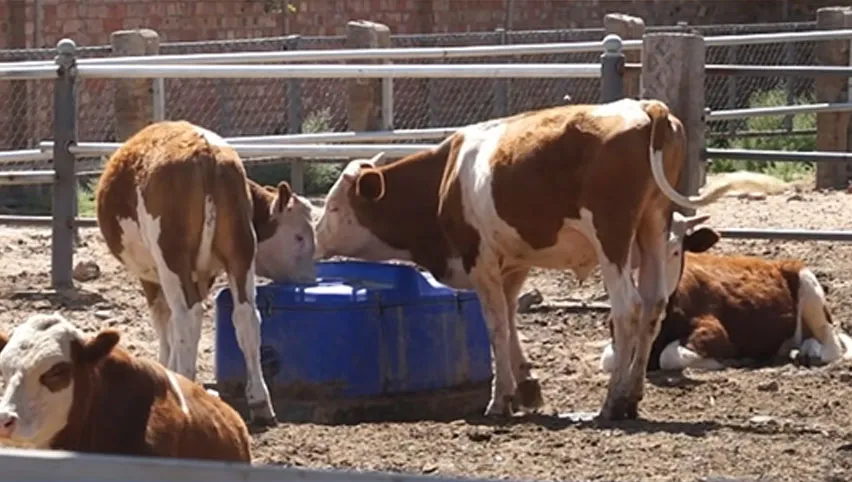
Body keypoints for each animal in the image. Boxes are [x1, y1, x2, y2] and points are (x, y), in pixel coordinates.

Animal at [94, 120, 317, 427]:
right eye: (299, 237)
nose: (312, 279)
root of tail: (206, 153)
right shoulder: (206, 273)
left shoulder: (152, 276)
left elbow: (165, 324)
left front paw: (167, 367)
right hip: (240, 255)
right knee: (246, 318)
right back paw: (260, 400)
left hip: (172, 258)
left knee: (187, 317)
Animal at [313, 97, 784, 421]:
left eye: (334, 207)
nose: (314, 239)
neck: (448, 177)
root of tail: (646, 107)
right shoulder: (515, 264)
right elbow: (511, 319)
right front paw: (527, 387)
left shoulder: (482, 262)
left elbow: (496, 326)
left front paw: (500, 398)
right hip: (653, 226)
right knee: (652, 307)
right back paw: (631, 395)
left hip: (612, 236)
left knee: (628, 308)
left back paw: (612, 401)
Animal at [600, 222, 852, 374]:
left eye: (675, 251)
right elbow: (610, 359)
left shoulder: (715, 332)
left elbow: (669, 356)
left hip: (809, 288)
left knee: (833, 345)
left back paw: (810, 353)